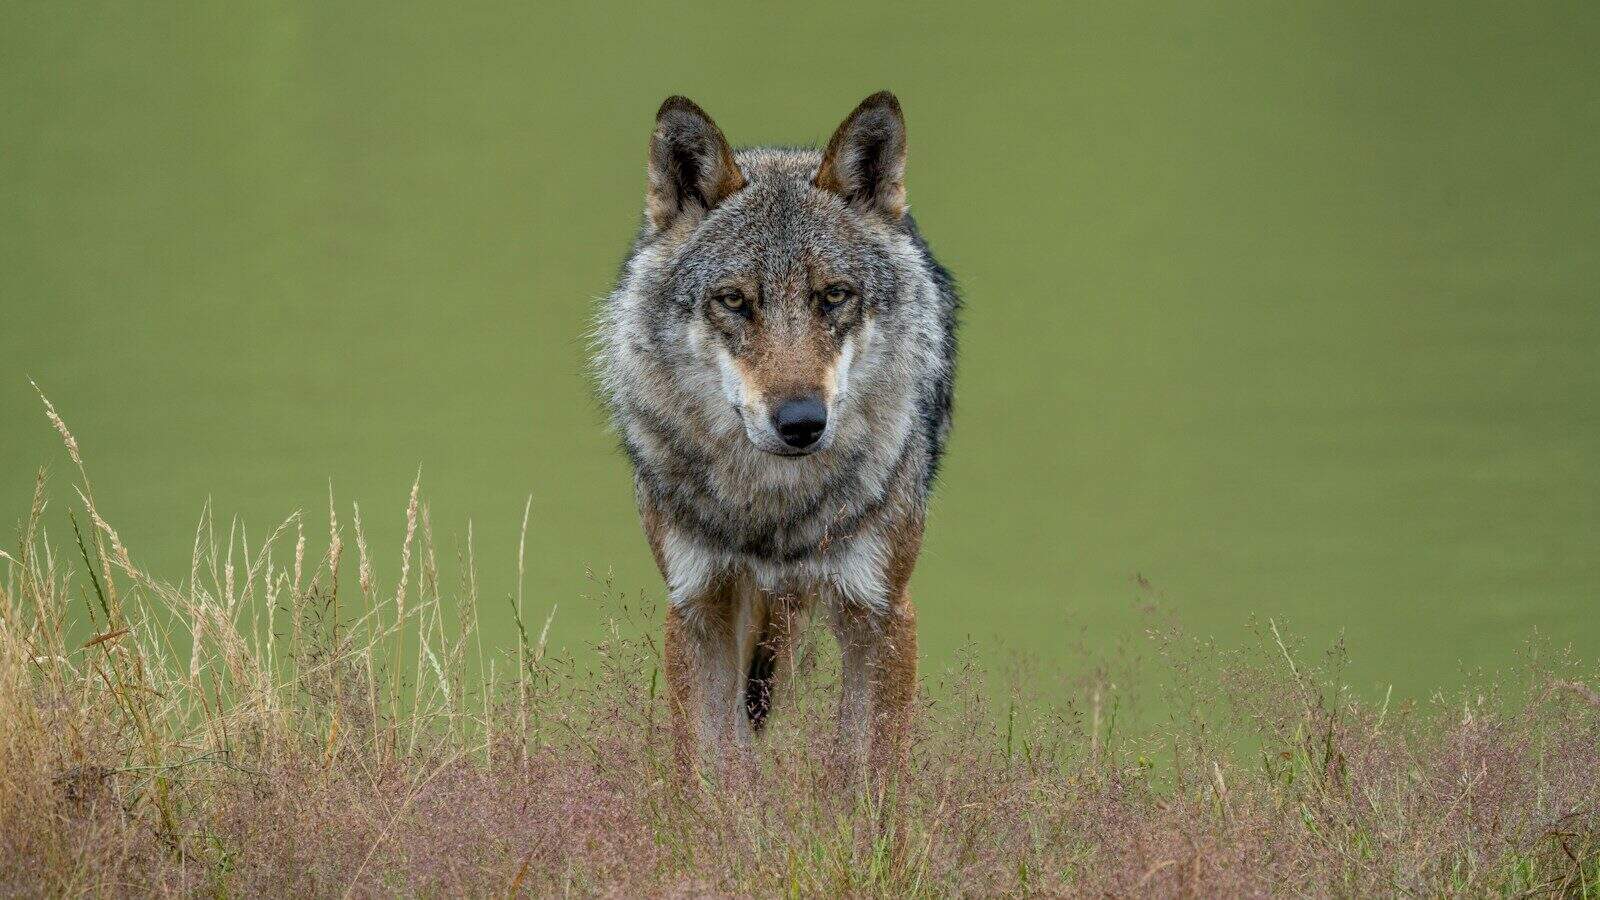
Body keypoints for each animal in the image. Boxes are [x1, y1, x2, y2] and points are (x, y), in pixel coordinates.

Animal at [596, 91, 959, 774]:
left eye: (834, 296)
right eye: (735, 301)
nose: (801, 423)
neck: (775, 511)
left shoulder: (882, 610)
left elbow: (868, 776)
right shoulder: (698, 604)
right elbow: (712, 773)